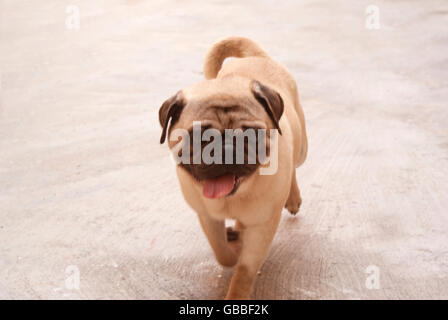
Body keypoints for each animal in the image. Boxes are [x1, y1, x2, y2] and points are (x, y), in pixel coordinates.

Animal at [158, 36, 308, 298]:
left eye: (251, 134)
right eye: (198, 136)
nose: (226, 148)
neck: (234, 197)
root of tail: (257, 57)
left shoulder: (262, 226)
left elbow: (245, 270)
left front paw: (237, 292)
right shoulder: (207, 217)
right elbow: (221, 253)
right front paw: (232, 249)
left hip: (301, 151)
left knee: (294, 168)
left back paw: (292, 198)